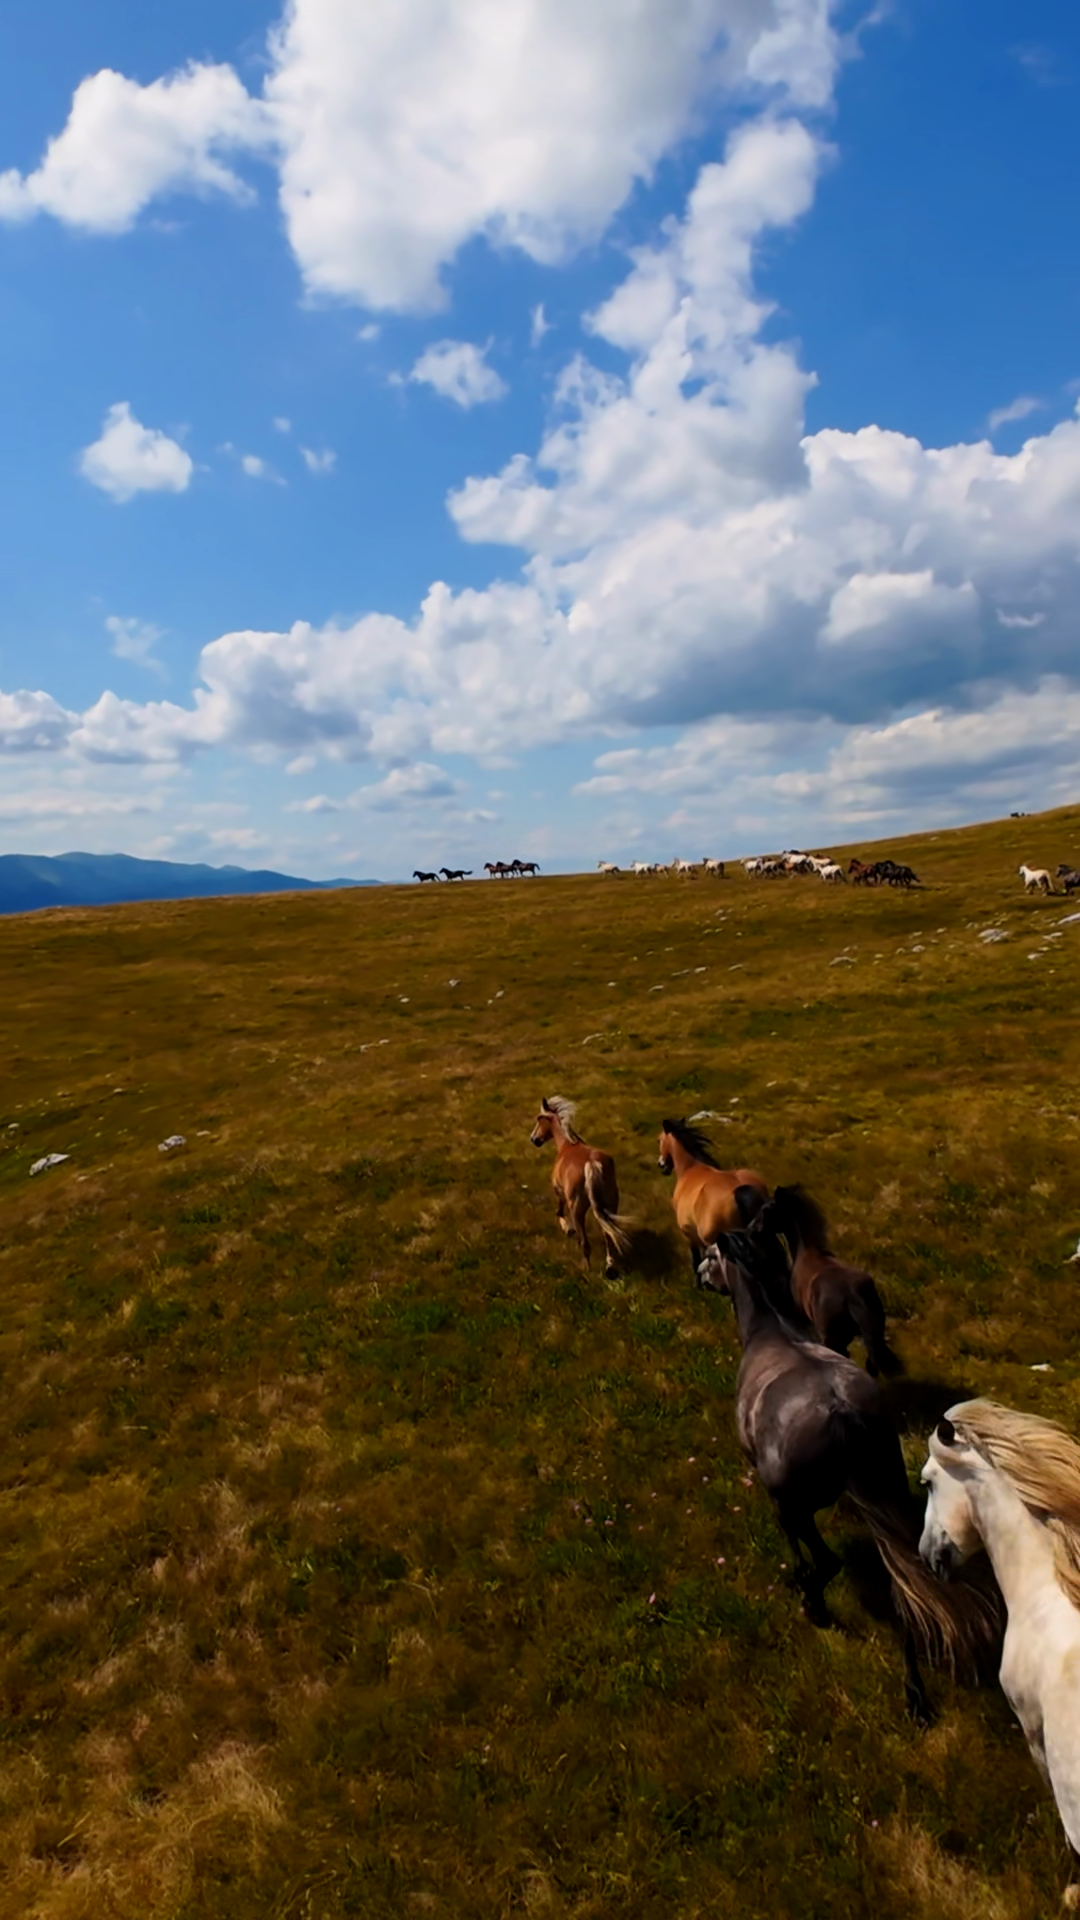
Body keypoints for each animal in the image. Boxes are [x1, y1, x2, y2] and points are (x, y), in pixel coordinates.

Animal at [530, 1097, 633, 1277]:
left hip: (578, 1209)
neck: (567, 1145)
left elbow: (559, 1211)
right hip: (610, 1204)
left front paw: (567, 1228)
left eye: (539, 1119)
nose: (533, 1139)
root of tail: (591, 1163)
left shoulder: (559, 1191)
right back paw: (609, 1266)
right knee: (608, 1234)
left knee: (585, 1243)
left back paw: (587, 1271)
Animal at [700, 1218, 1000, 1721]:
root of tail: (843, 1413)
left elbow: (799, 1550)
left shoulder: (780, 1500)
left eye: (710, 1255)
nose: (699, 1276)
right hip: (891, 1496)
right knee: (904, 1592)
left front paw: (801, 1585)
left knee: (829, 1562)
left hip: (800, 1503)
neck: (772, 1331)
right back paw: (914, 1694)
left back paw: (814, 1605)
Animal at [748, 1186, 901, 1376]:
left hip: (835, 1341)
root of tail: (852, 1296)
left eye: (767, 1210)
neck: (807, 1253)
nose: (751, 1230)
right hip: (874, 1334)